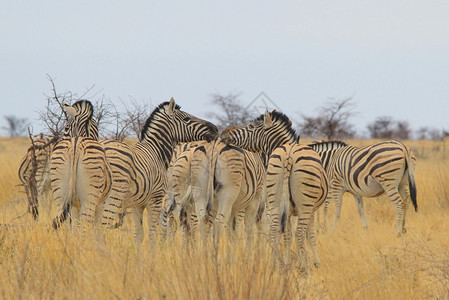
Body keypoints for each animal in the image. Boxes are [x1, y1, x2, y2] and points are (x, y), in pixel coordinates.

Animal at [49, 99, 111, 229]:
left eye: (66, 128)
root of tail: (75, 147)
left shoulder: (74, 206)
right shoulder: (100, 204)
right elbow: (97, 228)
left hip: (60, 193)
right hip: (89, 198)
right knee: (84, 225)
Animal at [98, 98, 219, 246]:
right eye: (186, 119)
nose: (215, 129)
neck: (156, 152)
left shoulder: (138, 204)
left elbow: (138, 235)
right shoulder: (155, 198)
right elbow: (152, 233)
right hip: (114, 194)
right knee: (103, 227)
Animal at [222, 109, 328, 270]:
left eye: (251, 126)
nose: (224, 133)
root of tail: (289, 156)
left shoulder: (288, 209)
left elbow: (287, 234)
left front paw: (288, 262)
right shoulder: (311, 208)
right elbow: (309, 234)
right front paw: (313, 262)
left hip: (274, 198)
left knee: (275, 230)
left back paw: (275, 264)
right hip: (304, 204)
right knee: (299, 232)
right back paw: (303, 268)